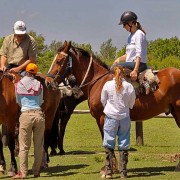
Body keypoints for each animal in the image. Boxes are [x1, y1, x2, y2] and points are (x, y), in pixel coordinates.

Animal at [45, 40, 180, 170]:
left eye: (59, 61)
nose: (47, 81)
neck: (98, 82)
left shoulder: (102, 118)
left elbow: (107, 142)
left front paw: (110, 167)